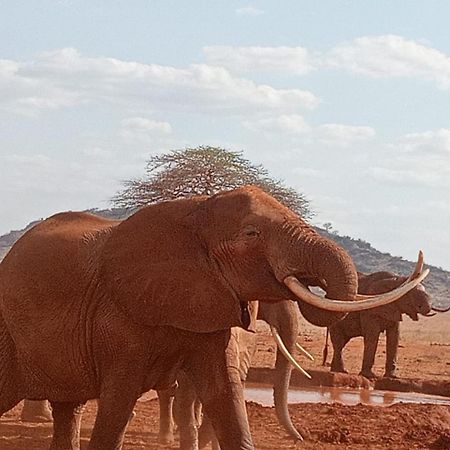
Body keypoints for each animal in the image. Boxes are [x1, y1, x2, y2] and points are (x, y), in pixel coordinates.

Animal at [0, 186, 426, 450]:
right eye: (252, 233)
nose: (302, 439)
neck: (195, 208)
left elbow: (225, 395)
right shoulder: (116, 317)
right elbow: (118, 401)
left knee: (67, 408)